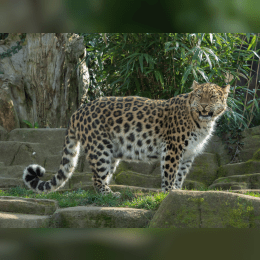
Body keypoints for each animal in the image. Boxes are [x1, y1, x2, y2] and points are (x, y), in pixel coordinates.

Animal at [22, 81, 230, 197]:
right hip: (100, 149)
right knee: (96, 178)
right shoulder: (173, 149)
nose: (204, 107)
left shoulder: (188, 154)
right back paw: (109, 195)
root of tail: (77, 111)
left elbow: (180, 174)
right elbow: (170, 173)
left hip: (112, 152)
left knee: (103, 176)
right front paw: (168, 192)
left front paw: (177, 193)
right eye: (199, 96)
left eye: (212, 97)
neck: (202, 123)